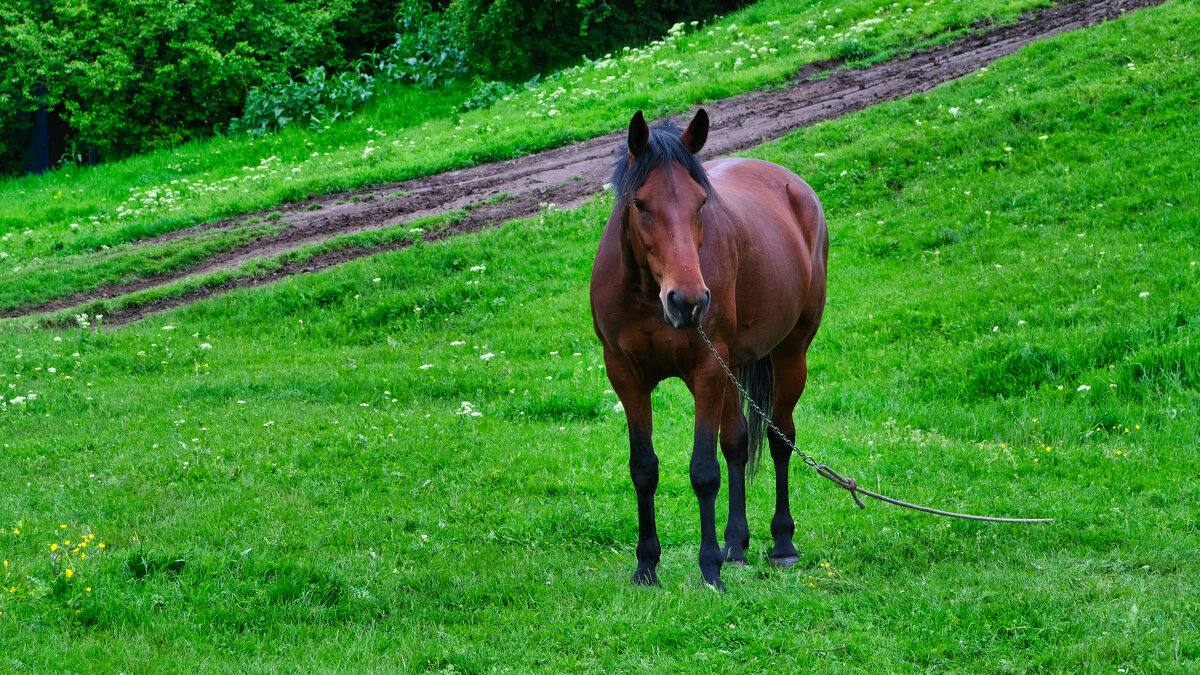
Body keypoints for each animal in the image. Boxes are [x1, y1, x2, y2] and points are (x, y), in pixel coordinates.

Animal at [588, 107, 825, 586]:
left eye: (701, 203)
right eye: (639, 204)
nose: (688, 301)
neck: (647, 296)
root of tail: (794, 186)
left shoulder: (707, 372)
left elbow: (703, 471)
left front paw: (710, 569)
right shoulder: (626, 376)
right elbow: (645, 468)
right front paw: (647, 566)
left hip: (790, 354)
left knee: (781, 439)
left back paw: (782, 544)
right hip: (735, 365)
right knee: (737, 442)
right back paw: (736, 545)